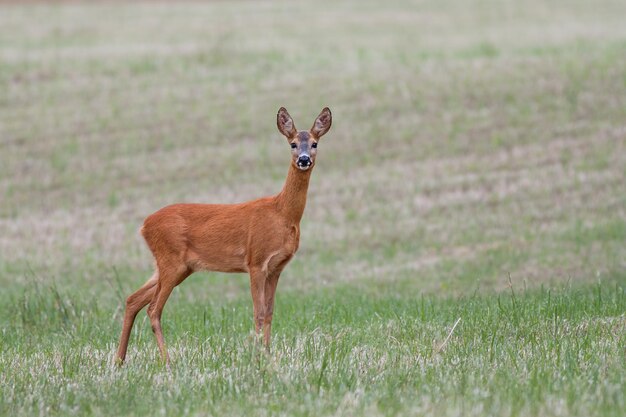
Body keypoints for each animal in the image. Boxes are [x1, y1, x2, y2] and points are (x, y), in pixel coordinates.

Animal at [116, 107, 332, 364]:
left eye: (314, 143)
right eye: (292, 144)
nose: (304, 159)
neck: (282, 213)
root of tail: (144, 225)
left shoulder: (276, 267)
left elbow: (270, 312)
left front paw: (268, 355)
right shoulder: (256, 261)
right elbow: (259, 312)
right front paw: (257, 358)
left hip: (176, 266)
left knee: (133, 299)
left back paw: (119, 360)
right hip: (171, 260)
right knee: (153, 309)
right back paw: (167, 362)